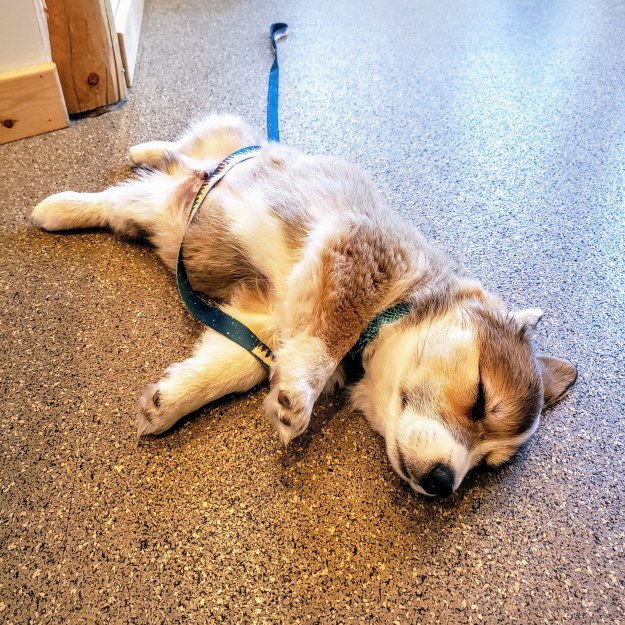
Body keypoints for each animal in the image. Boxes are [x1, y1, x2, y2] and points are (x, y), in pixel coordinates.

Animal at [31, 114, 577, 497]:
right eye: (480, 397)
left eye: (484, 464)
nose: (444, 484)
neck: (395, 306)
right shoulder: (354, 258)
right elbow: (326, 341)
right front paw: (299, 397)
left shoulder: (263, 319)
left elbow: (236, 365)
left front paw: (171, 399)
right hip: (193, 166)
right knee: (150, 171)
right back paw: (68, 199)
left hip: (164, 203)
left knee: (143, 185)